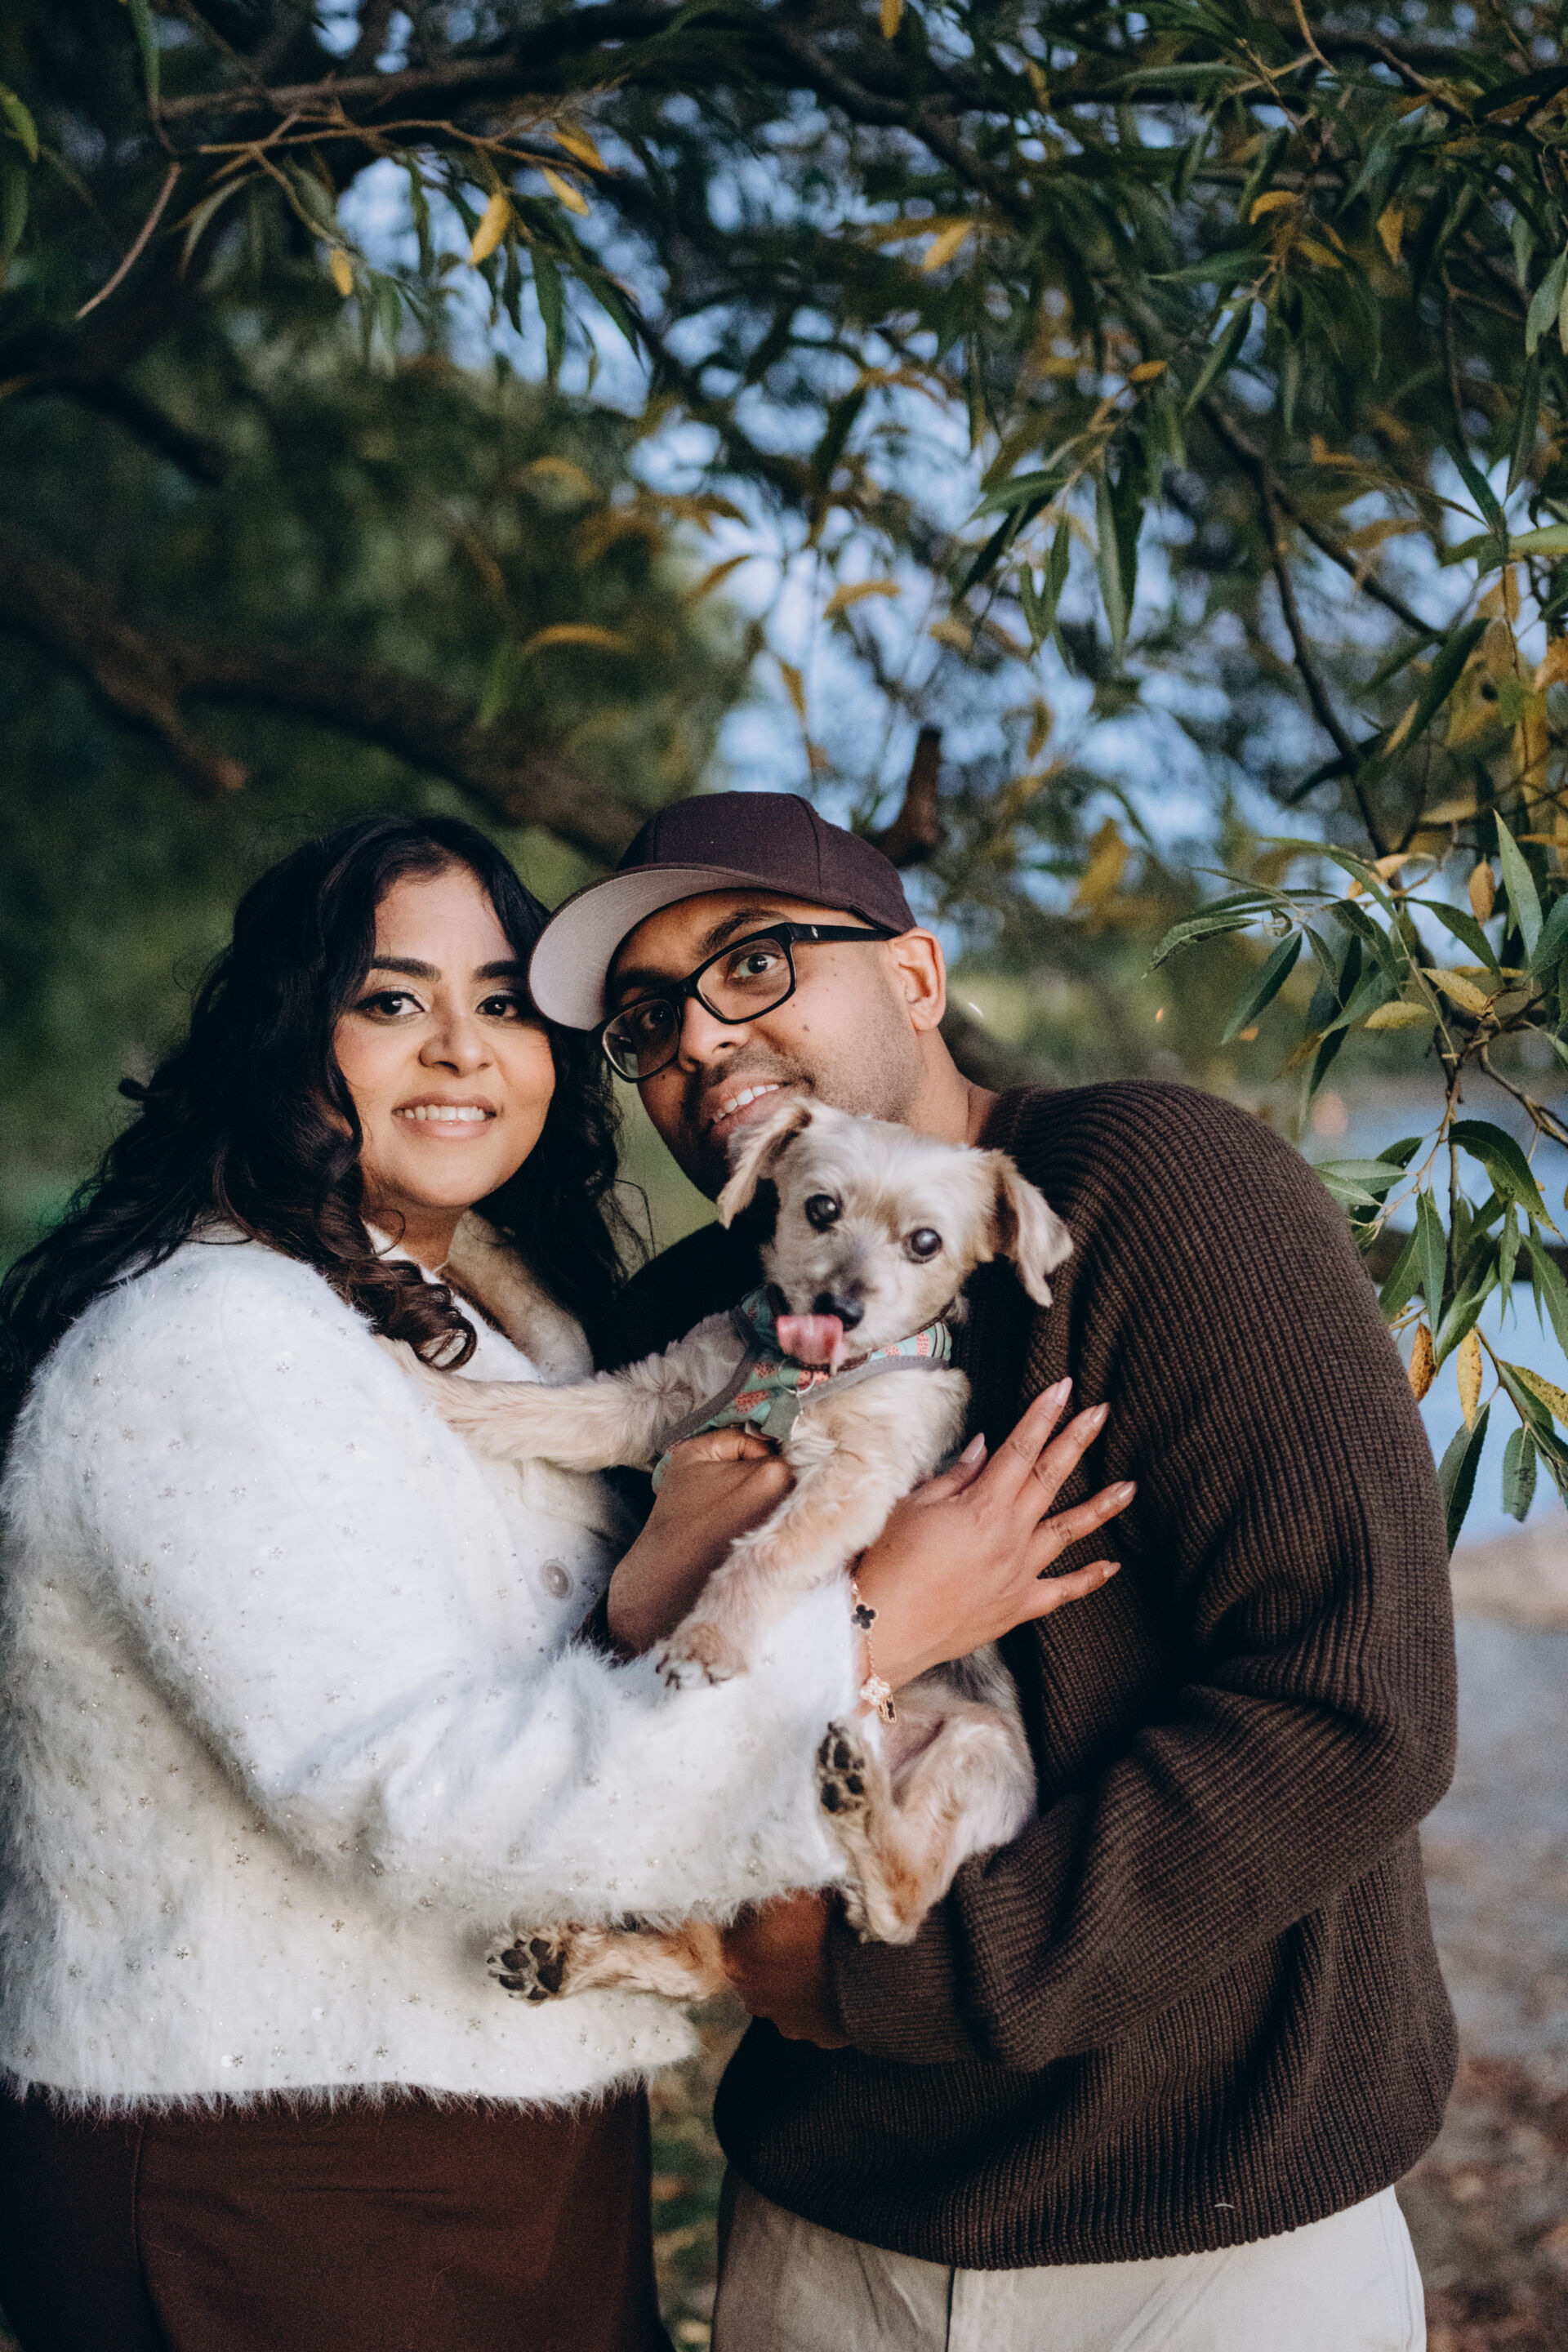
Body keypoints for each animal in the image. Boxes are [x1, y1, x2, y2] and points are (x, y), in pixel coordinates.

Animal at [408, 1097, 1072, 2005]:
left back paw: (859, 1800)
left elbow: (769, 1552)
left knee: (895, 1910)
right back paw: (561, 1957)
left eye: (925, 1243)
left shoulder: (858, 1476)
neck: (795, 1376)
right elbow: (538, 1411)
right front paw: (436, 1389)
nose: (838, 1305)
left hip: (979, 1754)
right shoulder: (655, 1402)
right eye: (820, 1208)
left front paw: (709, 1639)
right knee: (701, 1960)